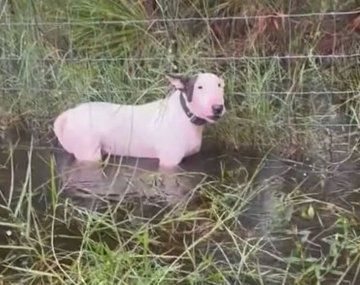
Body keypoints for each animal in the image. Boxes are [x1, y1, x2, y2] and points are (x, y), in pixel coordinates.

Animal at [53, 72, 225, 168]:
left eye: (220, 85)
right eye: (199, 87)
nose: (218, 108)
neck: (185, 115)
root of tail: (68, 114)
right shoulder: (169, 162)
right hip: (88, 153)